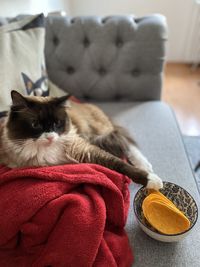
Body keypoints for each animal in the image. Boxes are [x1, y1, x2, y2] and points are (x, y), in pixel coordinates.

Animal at [0, 91, 162, 191]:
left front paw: (152, 180)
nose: (50, 136)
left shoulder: (85, 150)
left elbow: (119, 164)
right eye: (35, 125)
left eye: (57, 123)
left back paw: (145, 166)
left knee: (127, 145)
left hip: (99, 131)